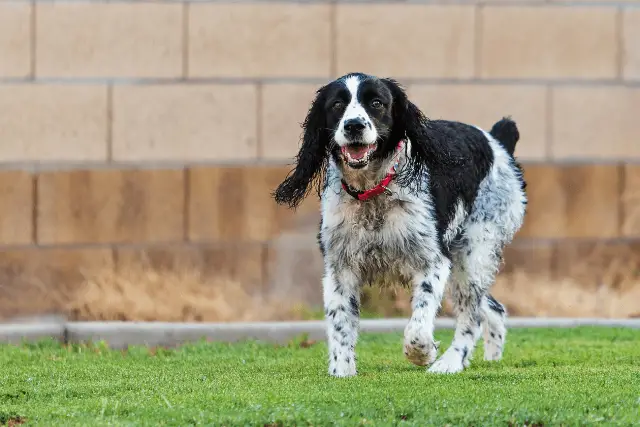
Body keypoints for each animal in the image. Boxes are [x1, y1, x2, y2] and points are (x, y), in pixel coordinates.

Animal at [272, 73, 528, 378]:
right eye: (336, 105)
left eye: (377, 103)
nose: (354, 125)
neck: (372, 192)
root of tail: (497, 141)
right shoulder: (339, 266)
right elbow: (340, 325)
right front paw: (342, 372)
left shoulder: (433, 261)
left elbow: (418, 327)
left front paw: (424, 353)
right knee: (494, 309)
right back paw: (490, 358)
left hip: (473, 254)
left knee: (472, 316)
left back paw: (450, 362)